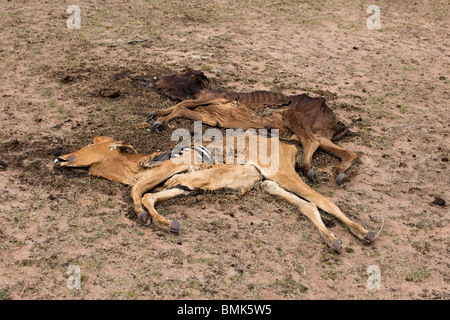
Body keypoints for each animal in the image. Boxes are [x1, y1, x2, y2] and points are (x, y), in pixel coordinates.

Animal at [54, 133, 374, 252]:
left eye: (92, 144)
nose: (60, 155)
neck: (139, 165)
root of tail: (286, 145)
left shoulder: (171, 169)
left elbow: (138, 191)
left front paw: (141, 214)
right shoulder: (184, 186)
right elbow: (150, 196)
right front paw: (165, 222)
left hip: (281, 174)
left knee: (324, 200)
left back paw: (362, 232)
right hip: (270, 185)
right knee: (308, 206)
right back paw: (332, 238)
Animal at [148, 69, 358, 185]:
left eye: (184, 72)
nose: (157, 80)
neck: (201, 91)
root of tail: (334, 117)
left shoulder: (216, 99)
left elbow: (182, 105)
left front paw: (159, 121)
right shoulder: (209, 117)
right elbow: (181, 107)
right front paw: (156, 114)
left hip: (294, 117)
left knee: (311, 142)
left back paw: (307, 168)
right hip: (321, 135)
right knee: (349, 153)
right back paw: (340, 173)